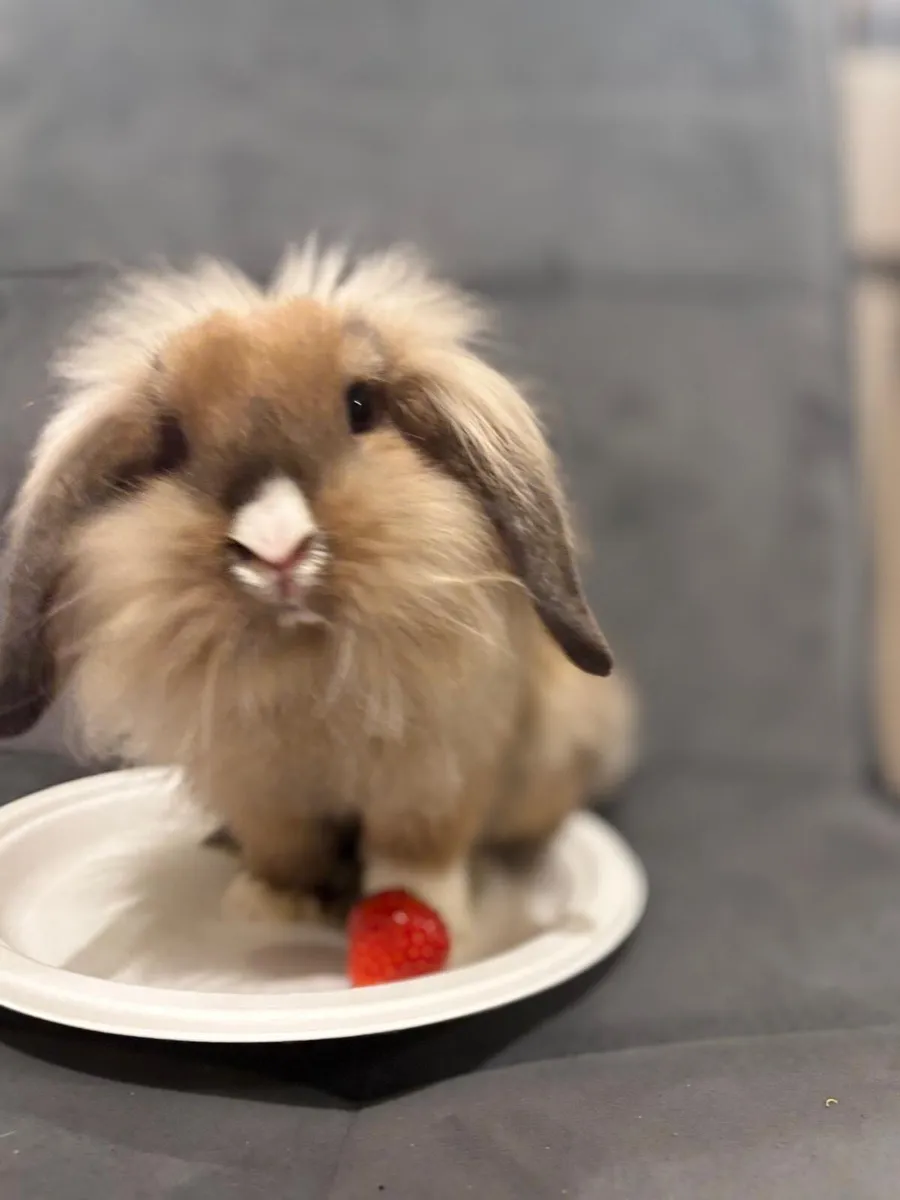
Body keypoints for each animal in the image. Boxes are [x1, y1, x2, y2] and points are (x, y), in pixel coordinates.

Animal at [0, 243, 637, 961]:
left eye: (360, 405)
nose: (276, 550)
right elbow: (285, 851)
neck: (306, 660)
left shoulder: (436, 772)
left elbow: (416, 852)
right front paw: (271, 907)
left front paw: (421, 911)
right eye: (172, 440)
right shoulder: (258, 790)